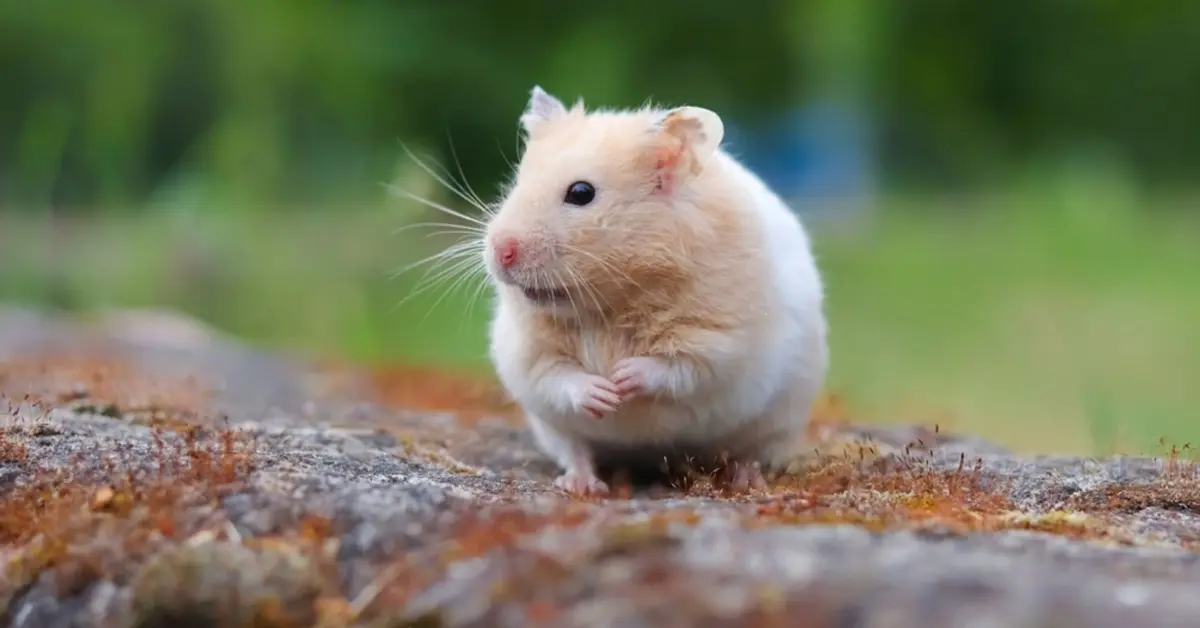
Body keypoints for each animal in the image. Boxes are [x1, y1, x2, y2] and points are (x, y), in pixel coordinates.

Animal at [482, 85, 829, 495]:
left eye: (581, 193)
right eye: (517, 184)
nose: (500, 251)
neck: (611, 301)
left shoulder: (719, 344)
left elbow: (677, 368)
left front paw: (622, 377)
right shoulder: (528, 354)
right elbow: (559, 377)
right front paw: (604, 392)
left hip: (777, 419)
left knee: (751, 451)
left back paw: (746, 480)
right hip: (551, 427)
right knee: (574, 449)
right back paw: (582, 485)